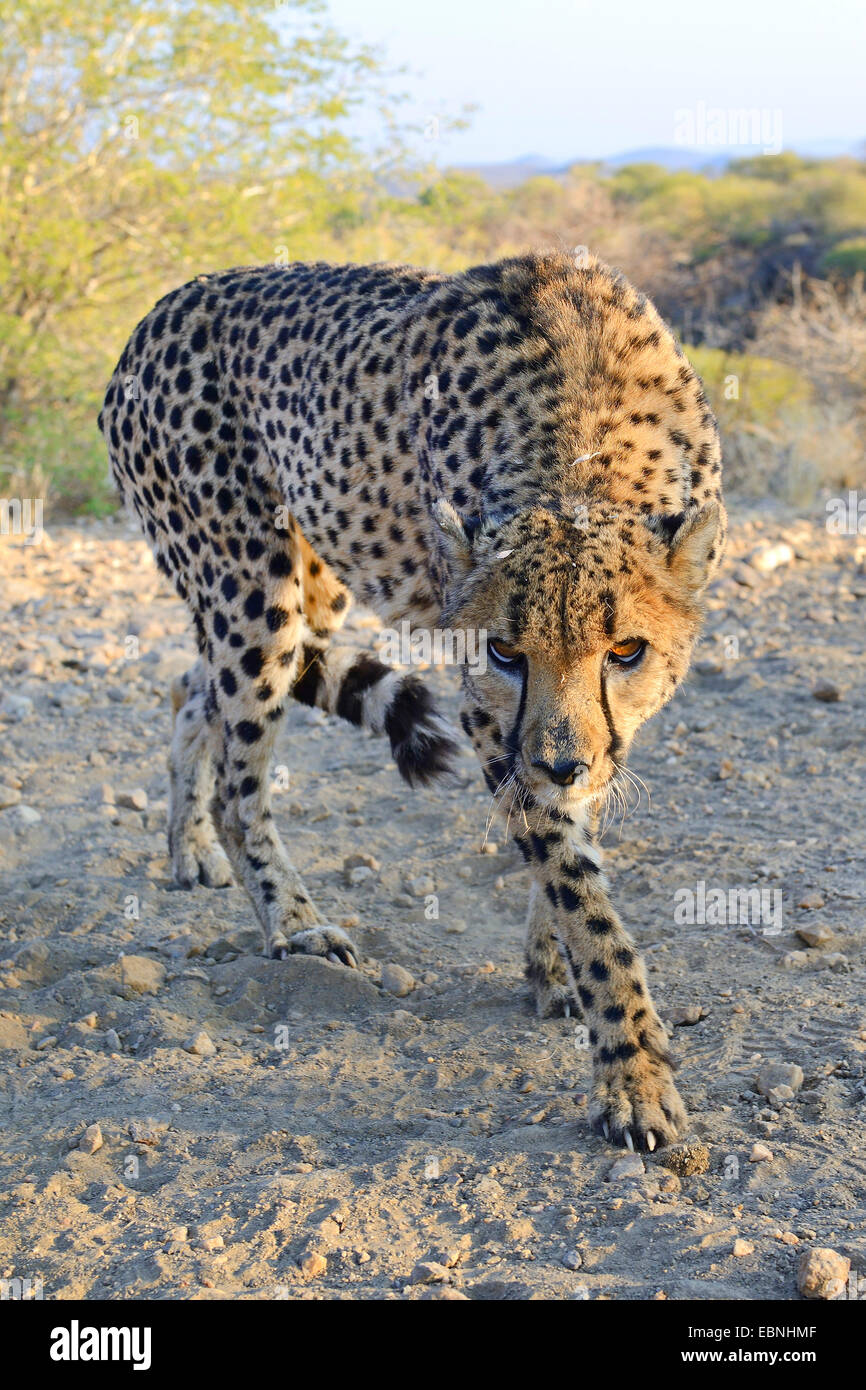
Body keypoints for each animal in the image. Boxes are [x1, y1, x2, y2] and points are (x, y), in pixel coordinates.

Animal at [100, 250, 722, 1150]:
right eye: (506, 652)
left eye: (626, 652)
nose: (559, 766)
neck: (585, 450)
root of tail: (164, 307)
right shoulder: (490, 716)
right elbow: (584, 898)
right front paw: (633, 1077)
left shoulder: (587, 738)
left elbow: (573, 849)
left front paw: (550, 968)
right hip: (253, 590)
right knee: (239, 781)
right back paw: (292, 921)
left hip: (313, 581)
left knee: (194, 687)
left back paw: (188, 851)